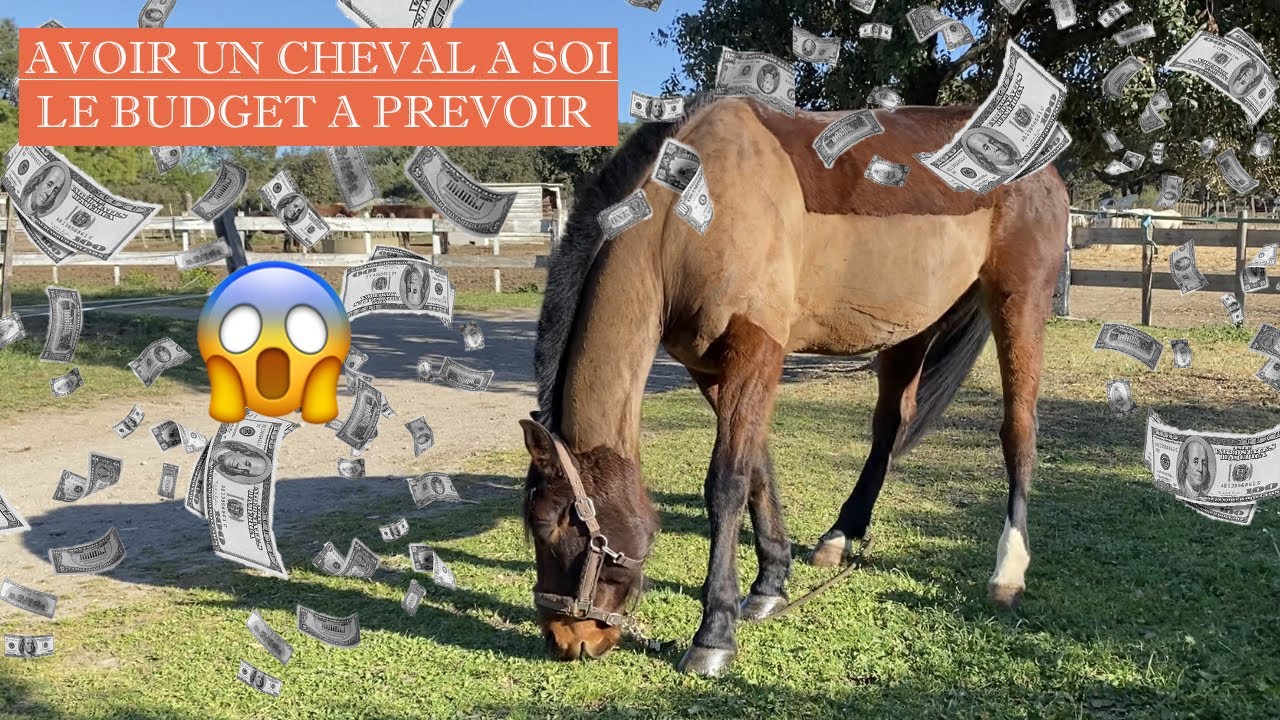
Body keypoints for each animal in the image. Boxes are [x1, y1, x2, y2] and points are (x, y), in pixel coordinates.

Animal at [518, 95, 1068, 676]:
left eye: (553, 526)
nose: (567, 638)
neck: (688, 212)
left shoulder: (756, 348)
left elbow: (728, 482)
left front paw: (715, 631)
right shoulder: (708, 366)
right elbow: (758, 466)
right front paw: (770, 584)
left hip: (1019, 301)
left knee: (1019, 430)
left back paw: (1007, 571)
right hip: (910, 328)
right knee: (889, 426)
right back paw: (841, 535)